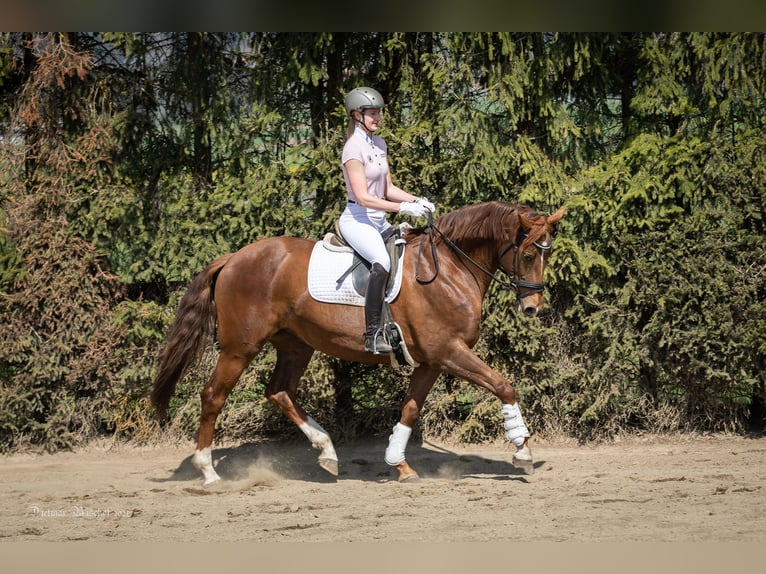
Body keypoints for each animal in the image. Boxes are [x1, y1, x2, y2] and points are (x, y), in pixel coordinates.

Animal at [153, 202, 568, 486]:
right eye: (527, 253)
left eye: (549, 253)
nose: (532, 307)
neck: (449, 269)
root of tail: (234, 257)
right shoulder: (449, 352)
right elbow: (503, 385)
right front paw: (522, 449)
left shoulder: (431, 361)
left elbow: (410, 409)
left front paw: (399, 464)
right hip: (240, 347)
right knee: (214, 396)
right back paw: (208, 472)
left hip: (295, 345)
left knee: (279, 391)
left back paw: (327, 452)